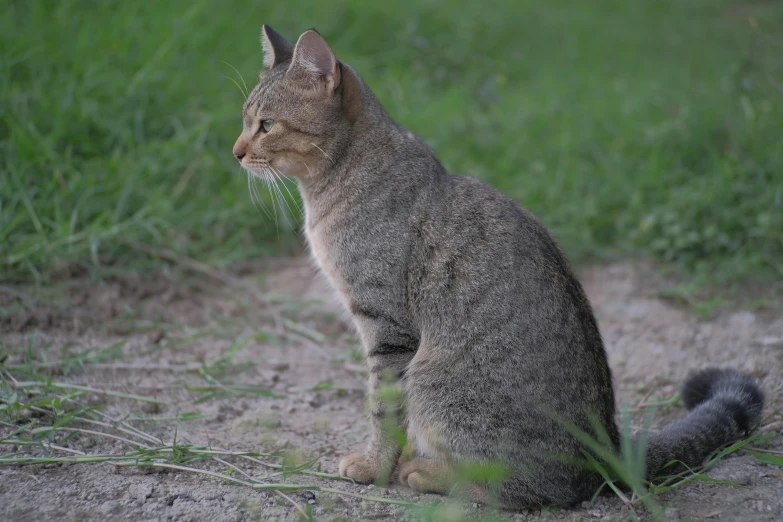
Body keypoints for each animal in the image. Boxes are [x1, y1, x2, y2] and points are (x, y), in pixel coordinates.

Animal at [233, 25, 764, 508]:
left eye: (267, 124)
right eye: (244, 120)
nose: (236, 152)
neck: (336, 180)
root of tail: (607, 446)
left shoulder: (388, 329)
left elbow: (383, 412)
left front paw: (374, 466)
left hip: (433, 382)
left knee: (516, 489)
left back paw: (429, 473)